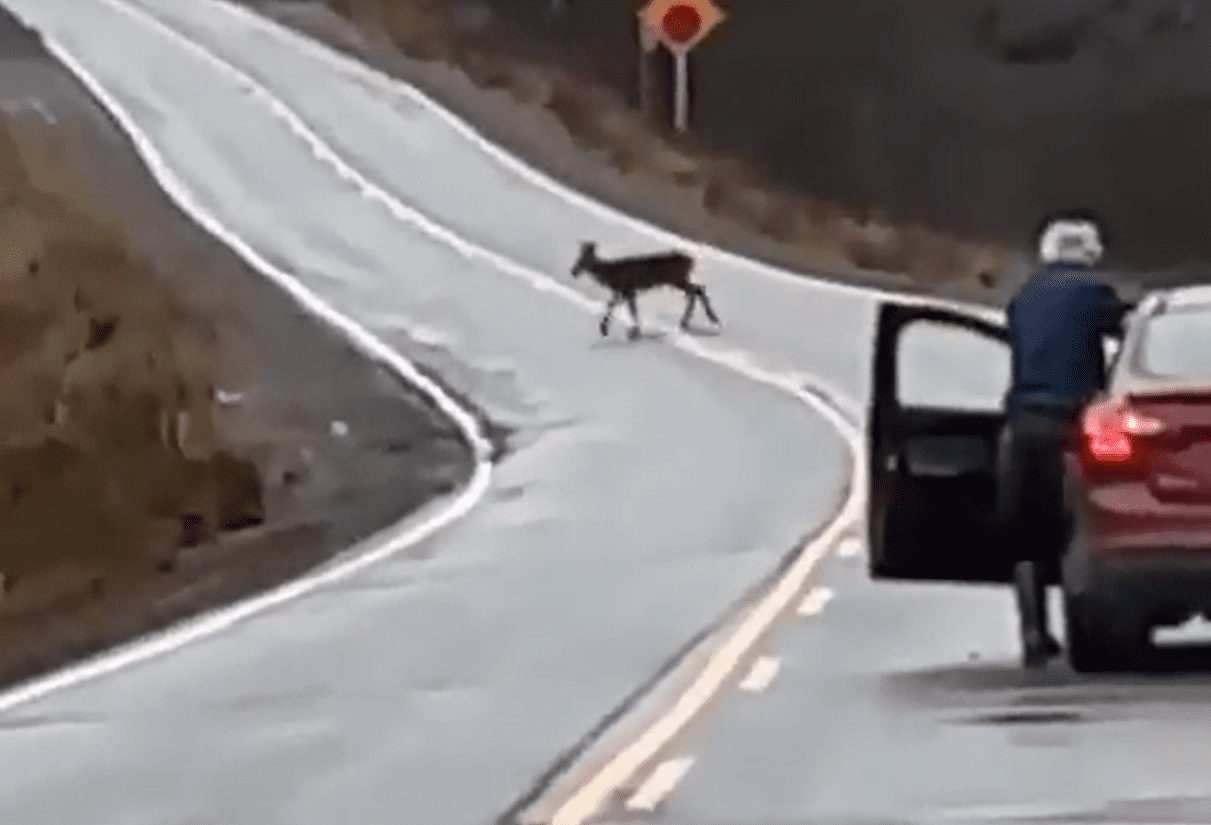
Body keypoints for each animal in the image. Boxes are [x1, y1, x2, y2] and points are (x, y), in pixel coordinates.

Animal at [570, 241, 722, 341]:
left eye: (583, 260)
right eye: (578, 258)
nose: (573, 271)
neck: (610, 273)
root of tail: (691, 261)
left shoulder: (628, 289)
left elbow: (630, 310)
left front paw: (633, 332)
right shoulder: (624, 291)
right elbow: (615, 306)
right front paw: (604, 329)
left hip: (676, 279)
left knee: (697, 289)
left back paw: (708, 319)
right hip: (679, 280)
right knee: (697, 290)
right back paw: (689, 322)